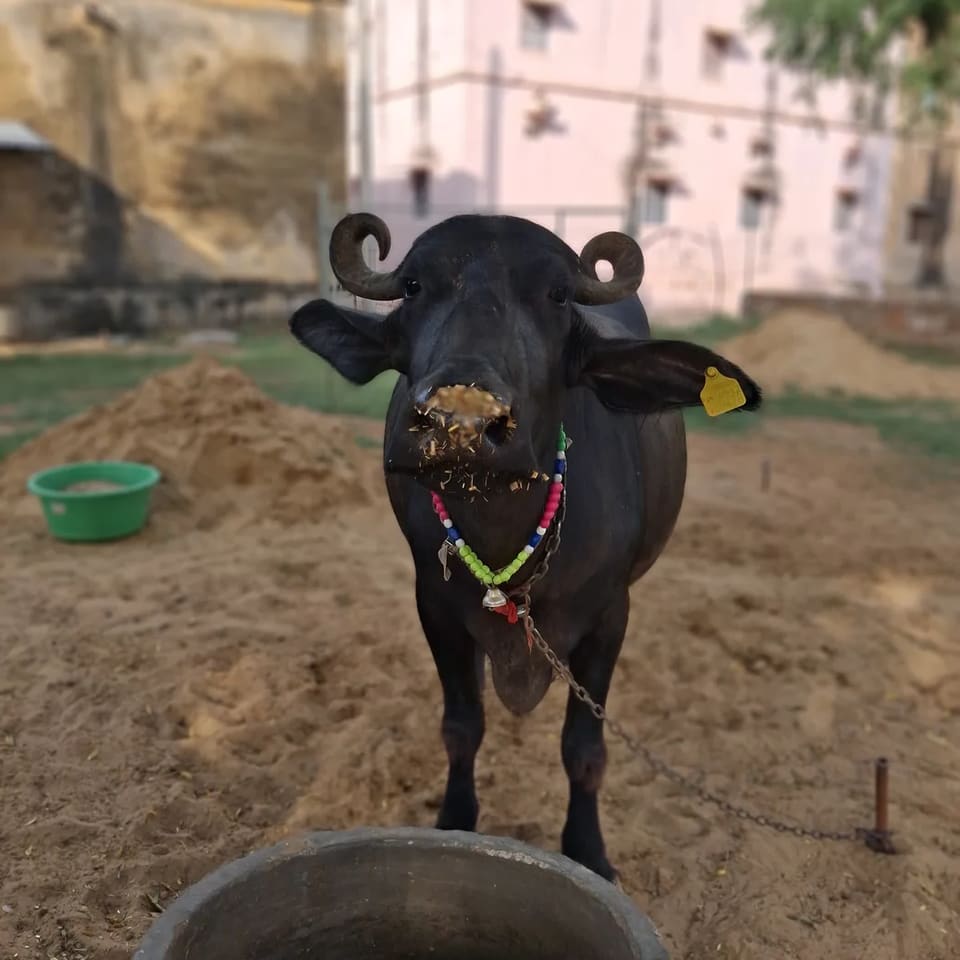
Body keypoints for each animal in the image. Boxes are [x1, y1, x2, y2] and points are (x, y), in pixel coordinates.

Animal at [291, 212, 761, 880]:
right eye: (412, 285)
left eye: (559, 294)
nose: (460, 423)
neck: (502, 530)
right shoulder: (433, 606)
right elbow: (462, 727)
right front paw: (455, 818)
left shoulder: (611, 615)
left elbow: (584, 749)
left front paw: (589, 849)